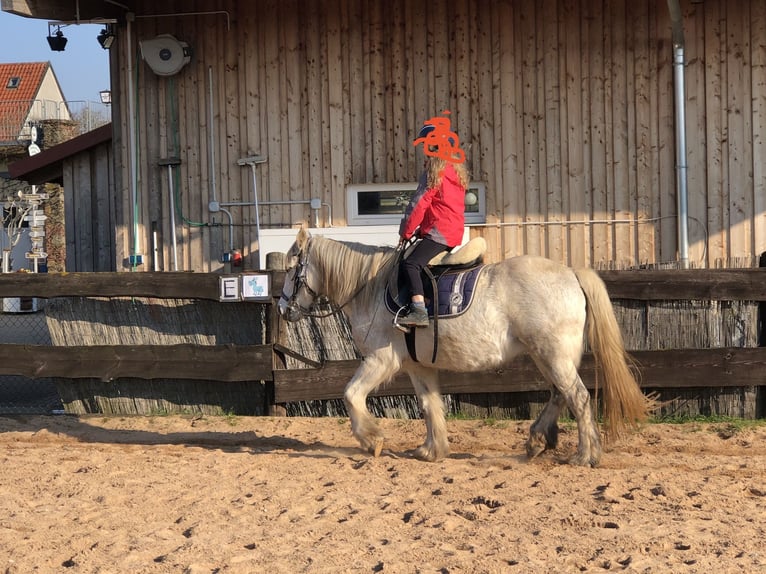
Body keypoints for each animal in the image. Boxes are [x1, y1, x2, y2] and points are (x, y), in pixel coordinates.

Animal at [278, 227, 653, 467]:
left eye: (291, 269)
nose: (283, 308)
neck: (372, 285)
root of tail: (571, 273)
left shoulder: (380, 360)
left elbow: (351, 395)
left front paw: (372, 439)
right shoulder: (418, 366)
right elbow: (430, 405)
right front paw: (432, 450)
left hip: (553, 355)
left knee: (577, 397)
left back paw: (585, 455)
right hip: (549, 356)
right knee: (560, 395)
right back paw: (536, 441)